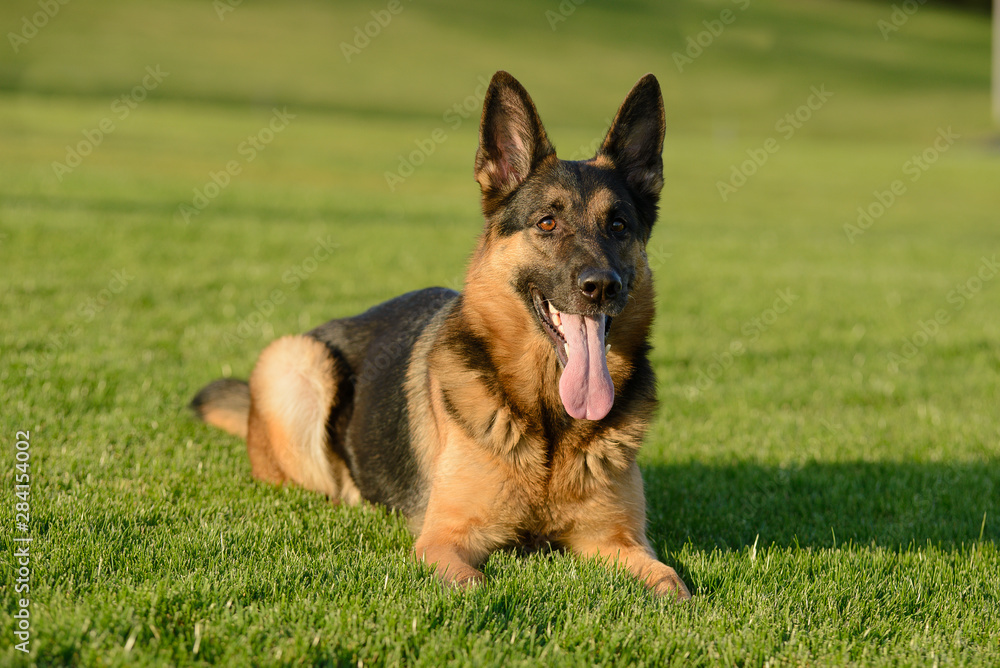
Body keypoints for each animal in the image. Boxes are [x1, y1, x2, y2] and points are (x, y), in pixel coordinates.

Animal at [191, 72, 692, 600]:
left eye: (618, 225)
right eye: (547, 223)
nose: (601, 286)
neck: (549, 421)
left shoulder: (619, 542)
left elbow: (674, 587)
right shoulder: (444, 540)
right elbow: (476, 586)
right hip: (295, 360)